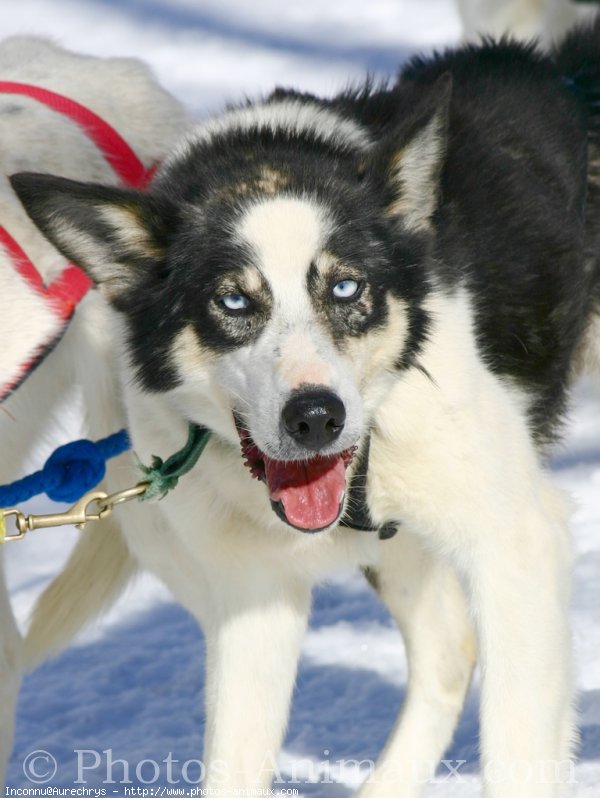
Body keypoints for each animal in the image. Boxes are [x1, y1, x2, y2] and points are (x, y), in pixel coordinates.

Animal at [11, 20, 600, 798]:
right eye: (233, 301)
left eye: (346, 288)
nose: (316, 416)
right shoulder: (254, 605)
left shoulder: (517, 547)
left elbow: (518, 750)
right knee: (449, 651)